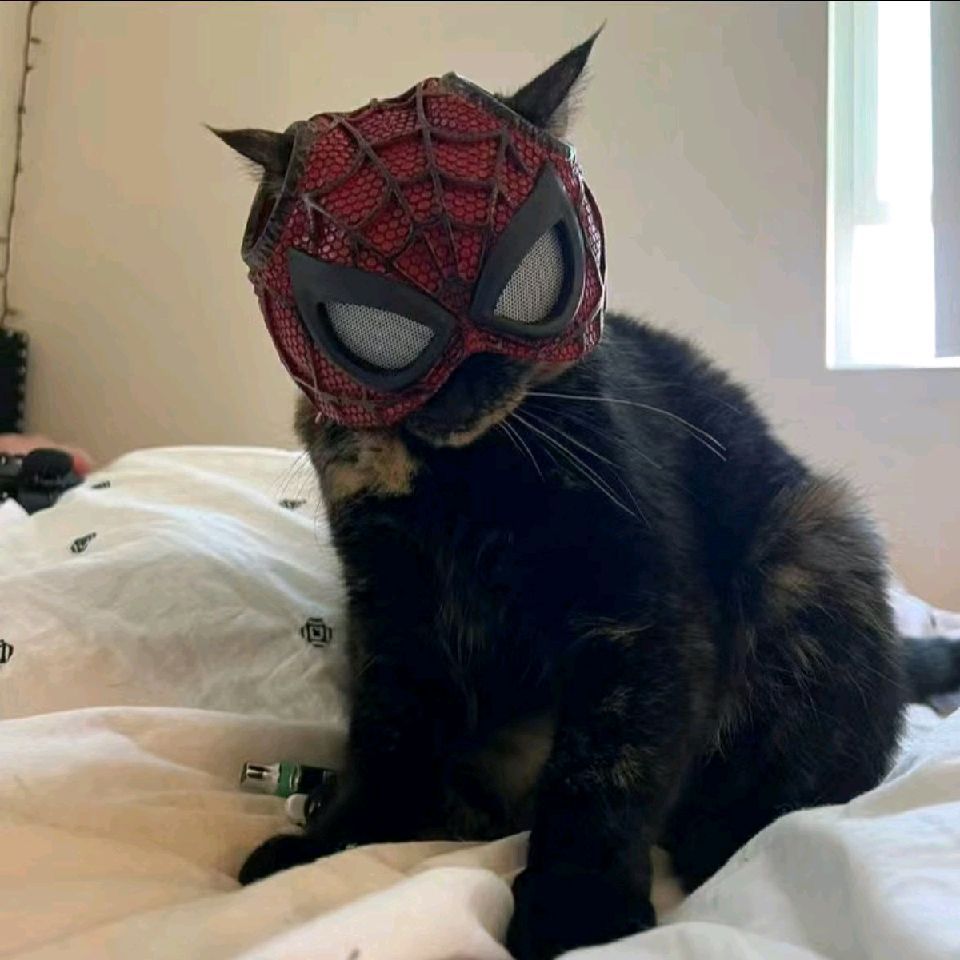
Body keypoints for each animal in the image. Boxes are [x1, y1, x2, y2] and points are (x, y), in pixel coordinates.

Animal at [217, 35, 960, 960]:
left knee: (818, 774)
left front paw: (578, 908)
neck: (465, 480)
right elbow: (387, 734)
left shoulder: (638, 610)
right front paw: (334, 841)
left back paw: (720, 838)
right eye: (372, 326)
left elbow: (607, 764)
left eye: (528, 281)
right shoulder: (390, 602)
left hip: (812, 542)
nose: (467, 384)